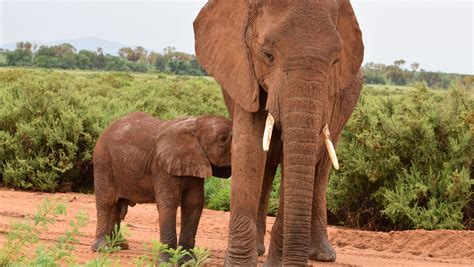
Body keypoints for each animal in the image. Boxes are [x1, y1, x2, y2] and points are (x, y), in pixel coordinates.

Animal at [90, 113, 231, 262]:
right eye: (223, 139)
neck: (195, 124)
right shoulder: (161, 167)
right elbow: (168, 203)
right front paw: (166, 261)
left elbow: (193, 204)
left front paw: (188, 261)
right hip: (104, 161)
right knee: (107, 202)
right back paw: (103, 248)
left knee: (116, 206)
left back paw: (119, 246)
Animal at [193, 1, 362, 266]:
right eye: (268, 54)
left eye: (336, 62)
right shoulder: (244, 71)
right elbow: (248, 147)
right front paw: (240, 263)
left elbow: (301, 157)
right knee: (269, 162)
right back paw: (259, 249)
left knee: (321, 167)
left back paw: (323, 255)